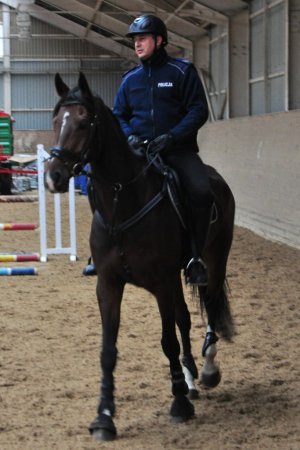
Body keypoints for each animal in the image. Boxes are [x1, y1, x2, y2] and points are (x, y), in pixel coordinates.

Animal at [44, 72, 236, 442]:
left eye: (84, 122)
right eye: (56, 120)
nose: (54, 176)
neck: (124, 203)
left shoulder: (161, 282)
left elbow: (167, 341)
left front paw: (178, 404)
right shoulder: (109, 285)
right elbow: (109, 350)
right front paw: (104, 416)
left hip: (214, 261)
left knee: (210, 308)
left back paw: (206, 370)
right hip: (176, 277)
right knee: (184, 319)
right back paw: (190, 379)